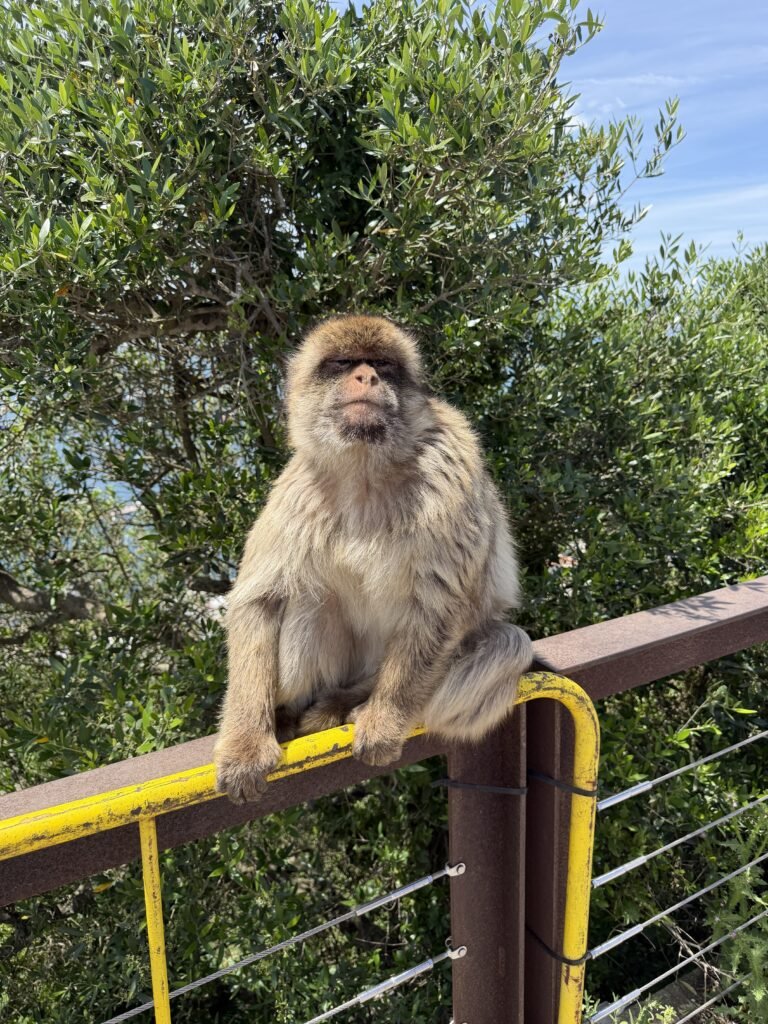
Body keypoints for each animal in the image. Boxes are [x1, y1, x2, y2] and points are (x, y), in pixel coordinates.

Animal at [214, 315, 533, 803]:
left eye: (382, 364)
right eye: (344, 363)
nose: (367, 377)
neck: (365, 466)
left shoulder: (448, 471)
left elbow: (438, 604)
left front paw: (384, 720)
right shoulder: (295, 489)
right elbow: (260, 600)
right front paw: (246, 741)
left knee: (509, 644)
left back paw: (353, 703)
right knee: (307, 603)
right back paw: (295, 712)